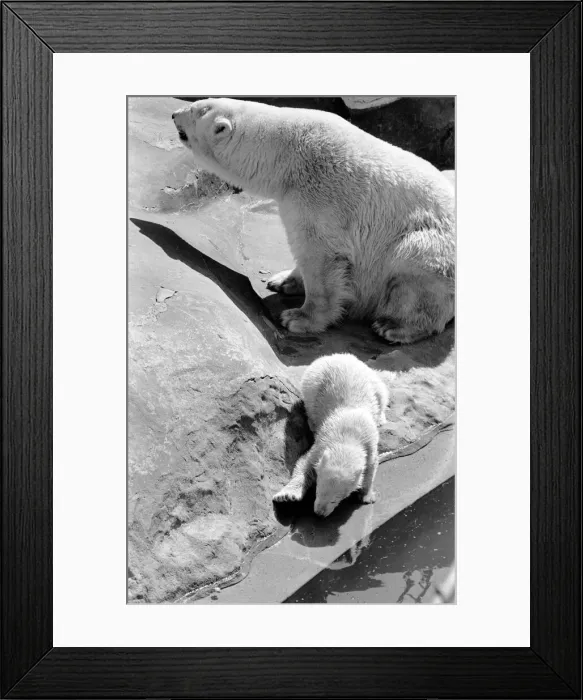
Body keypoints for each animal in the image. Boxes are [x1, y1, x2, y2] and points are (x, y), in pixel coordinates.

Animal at [172, 97, 455, 344]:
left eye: (197, 109)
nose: (174, 114)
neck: (285, 154)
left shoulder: (321, 192)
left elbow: (321, 254)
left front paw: (298, 318)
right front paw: (284, 280)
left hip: (429, 247)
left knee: (412, 266)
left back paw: (393, 326)